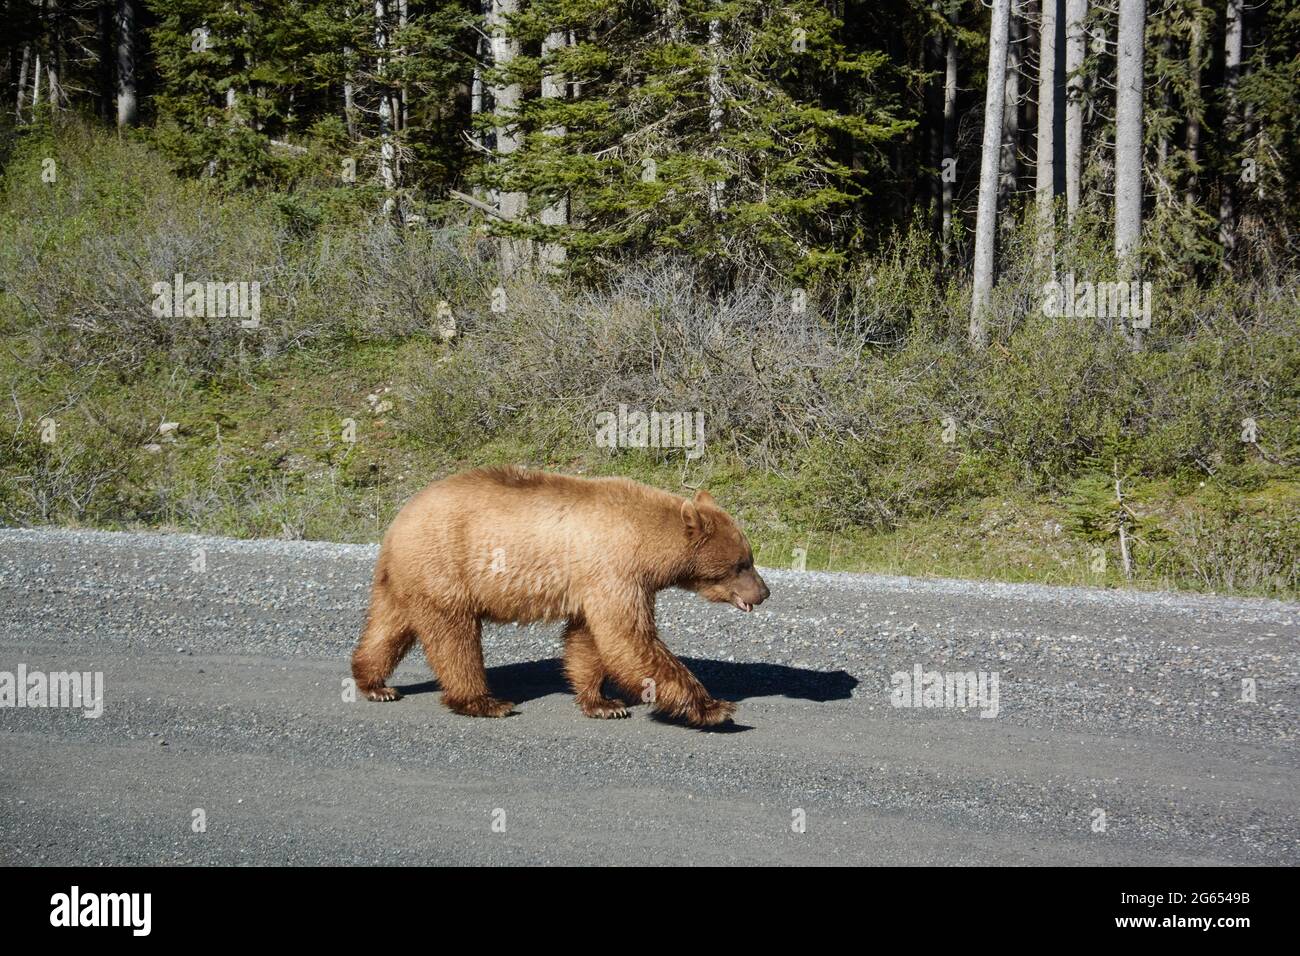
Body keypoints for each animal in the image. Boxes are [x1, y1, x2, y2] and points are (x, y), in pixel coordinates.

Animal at [351, 468, 764, 723]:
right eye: (741, 564)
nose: (764, 592)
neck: (645, 543)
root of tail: (398, 520)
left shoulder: (591, 583)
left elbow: (589, 640)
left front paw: (603, 703)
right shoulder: (615, 571)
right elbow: (629, 638)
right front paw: (714, 707)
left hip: (408, 578)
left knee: (389, 627)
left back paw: (374, 683)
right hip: (446, 567)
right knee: (454, 639)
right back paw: (483, 701)